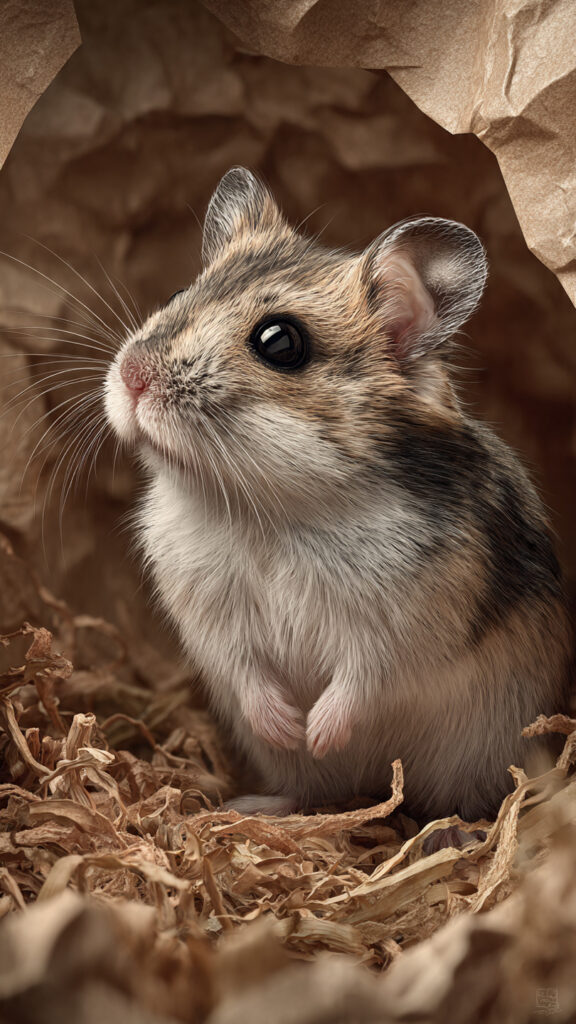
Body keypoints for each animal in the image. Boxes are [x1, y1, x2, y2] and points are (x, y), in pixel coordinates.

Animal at [105, 167, 573, 821]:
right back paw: (256, 806)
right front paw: (288, 730)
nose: (131, 377)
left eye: (280, 342)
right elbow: (245, 670)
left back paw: (452, 830)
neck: (271, 507)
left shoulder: (406, 624)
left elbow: (363, 679)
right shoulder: (209, 617)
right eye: (177, 294)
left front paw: (318, 732)